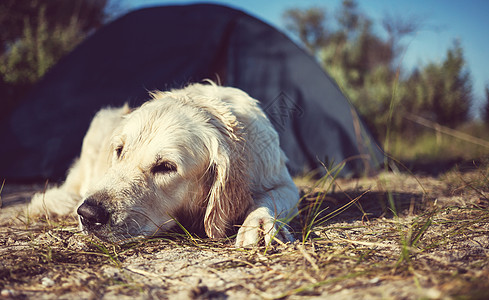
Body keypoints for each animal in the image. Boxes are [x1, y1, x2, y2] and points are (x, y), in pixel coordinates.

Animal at [29, 83, 302, 247]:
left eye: (166, 167)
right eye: (119, 151)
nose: (87, 214)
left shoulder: (282, 180)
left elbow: (272, 197)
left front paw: (258, 223)